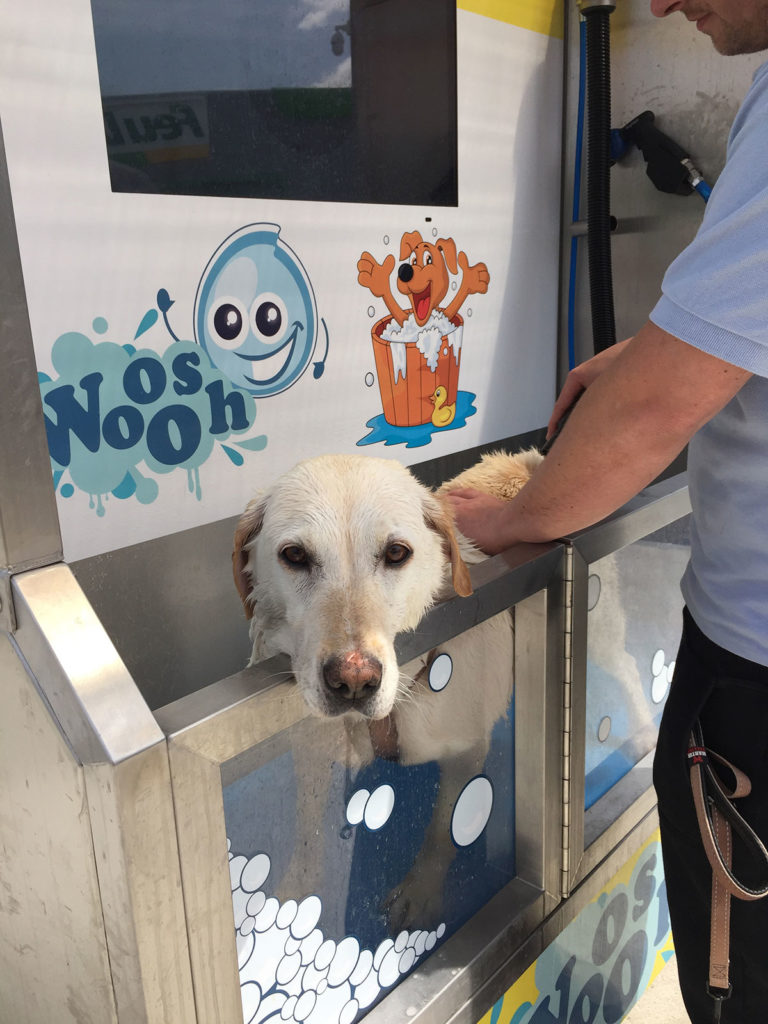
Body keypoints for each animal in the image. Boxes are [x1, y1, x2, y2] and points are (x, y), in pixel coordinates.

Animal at [233, 448, 540, 929]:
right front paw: (296, 898)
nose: (353, 681)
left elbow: (443, 827)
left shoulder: (467, 751)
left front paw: (421, 892)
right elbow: (307, 827)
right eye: (295, 555)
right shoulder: (310, 751)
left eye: (397, 552)